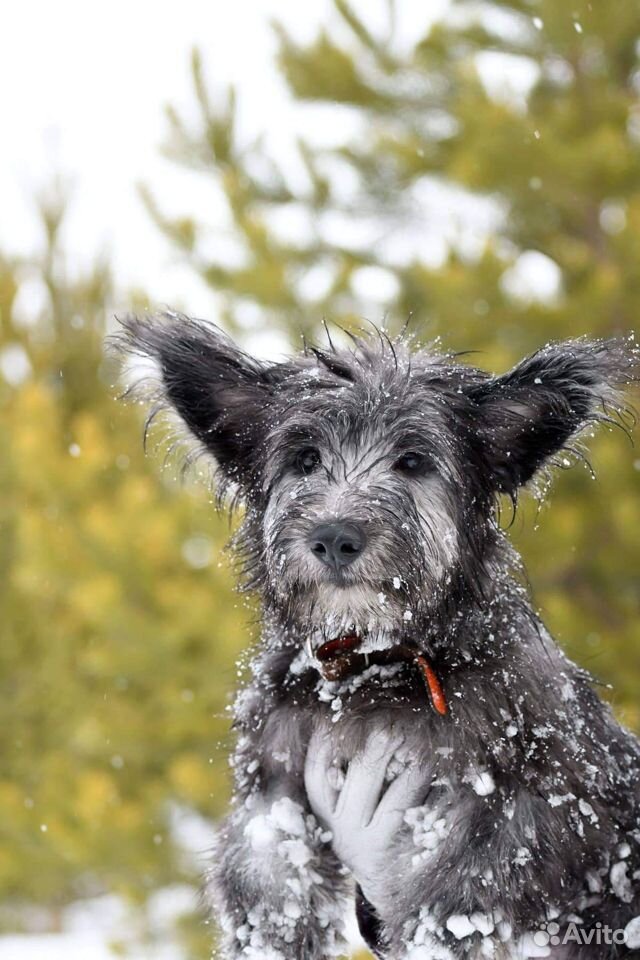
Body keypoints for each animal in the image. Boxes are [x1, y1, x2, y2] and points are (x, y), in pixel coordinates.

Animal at [116, 312, 640, 956]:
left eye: (412, 462)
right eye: (306, 459)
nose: (334, 537)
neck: (373, 666)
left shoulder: (498, 824)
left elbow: (453, 909)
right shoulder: (276, 789)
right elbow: (269, 879)